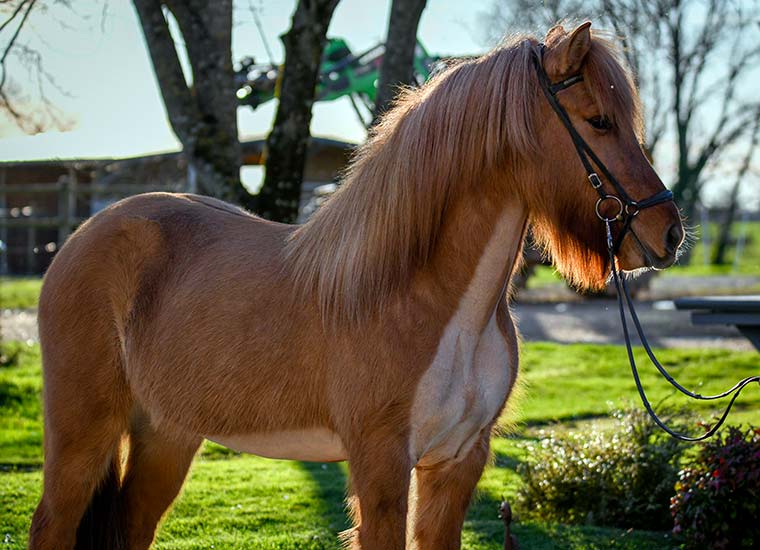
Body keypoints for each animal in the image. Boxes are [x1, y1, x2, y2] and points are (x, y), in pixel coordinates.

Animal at [29, 22, 684, 550]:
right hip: (82, 433)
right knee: (51, 524)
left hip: (165, 434)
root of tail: (81, 238)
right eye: (598, 121)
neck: (430, 299)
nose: (669, 232)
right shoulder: (381, 465)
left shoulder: (456, 465)